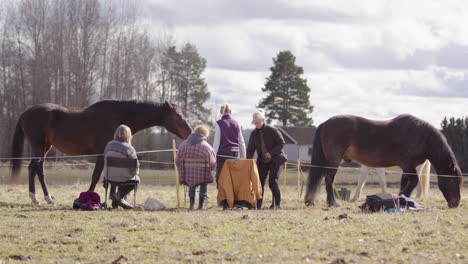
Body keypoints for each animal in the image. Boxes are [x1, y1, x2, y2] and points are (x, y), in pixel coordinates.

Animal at [11, 99, 193, 204]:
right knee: (39, 169)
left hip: (44, 147)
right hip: (39, 146)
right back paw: (47, 198)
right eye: (178, 116)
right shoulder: (101, 153)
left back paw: (34, 198)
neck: (118, 115)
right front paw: (88, 196)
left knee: (32, 168)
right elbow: (97, 175)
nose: (190, 132)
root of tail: (25, 113)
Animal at [306, 114, 462, 209]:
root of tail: (325, 123)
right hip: (334, 160)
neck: (422, 137)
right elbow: (413, 182)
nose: (455, 203)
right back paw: (332, 203)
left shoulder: (406, 168)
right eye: (452, 180)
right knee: (328, 180)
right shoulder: (408, 165)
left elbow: (405, 183)